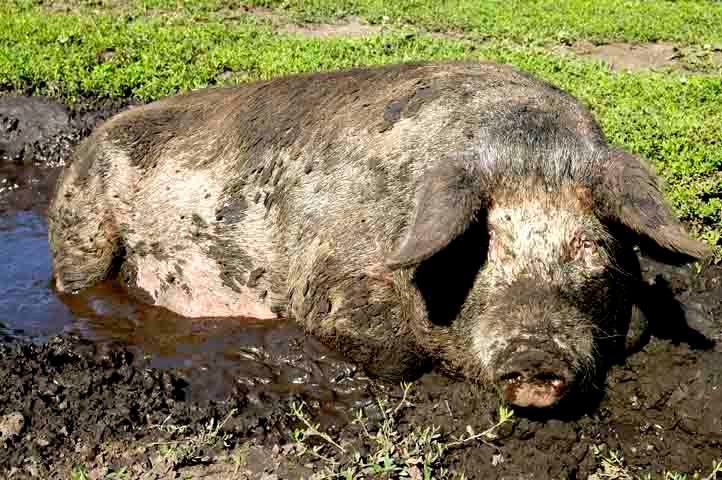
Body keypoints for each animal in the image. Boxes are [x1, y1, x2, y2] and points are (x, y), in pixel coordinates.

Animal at [48, 61, 709, 408]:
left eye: (590, 247)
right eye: (481, 249)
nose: (534, 354)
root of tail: (85, 146)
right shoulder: (329, 279)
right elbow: (391, 352)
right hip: (82, 229)